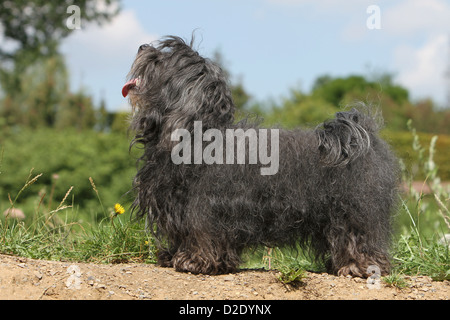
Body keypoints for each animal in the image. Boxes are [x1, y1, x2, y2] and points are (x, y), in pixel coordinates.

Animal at [121, 35, 400, 278]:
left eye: (162, 59)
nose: (142, 46)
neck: (195, 133)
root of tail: (356, 136)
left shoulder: (204, 205)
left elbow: (202, 232)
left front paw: (196, 261)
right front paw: (173, 255)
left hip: (353, 209)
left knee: (359, 236)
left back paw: (359, 266)